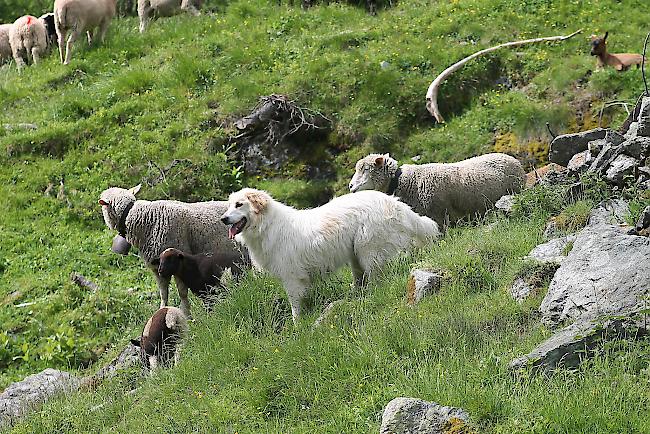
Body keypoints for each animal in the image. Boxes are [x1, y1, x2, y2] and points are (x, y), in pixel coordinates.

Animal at [98, 184, 243, 316]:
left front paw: (186, 314)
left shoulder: (179, 261)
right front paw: (162, 310)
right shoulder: (157, 268)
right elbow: (163, 294)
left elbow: (182, 293)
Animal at [220, 188, 438, 320]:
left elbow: (294, 305)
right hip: (355, 255)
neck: (267, 225)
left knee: (376, 278)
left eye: (239, 204)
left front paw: (297, 327)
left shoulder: (292, 278)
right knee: (361, 279)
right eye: (229, 205)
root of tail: (394, 202)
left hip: (368, 250)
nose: (223, 219)